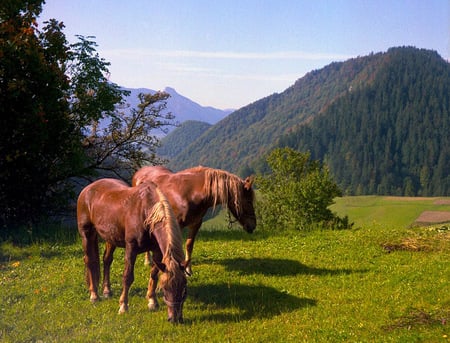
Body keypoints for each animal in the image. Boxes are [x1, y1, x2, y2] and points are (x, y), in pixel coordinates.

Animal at [77, 179, 186, 324]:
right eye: (165, 288)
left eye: (184, 287)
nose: (174, 319)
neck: (146, 212)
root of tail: (87, 189)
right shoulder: (131, 248)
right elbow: (128, 277)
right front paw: (123, 307)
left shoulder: (157, 251)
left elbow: (154, 274)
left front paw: (152, 301)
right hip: (87, 234)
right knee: (90, 261)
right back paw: (94, 295)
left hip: (111, 237)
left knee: (106, 260)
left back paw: (107, 291)